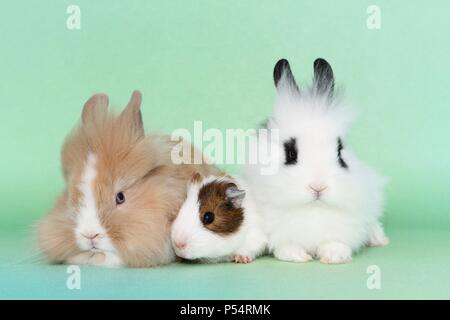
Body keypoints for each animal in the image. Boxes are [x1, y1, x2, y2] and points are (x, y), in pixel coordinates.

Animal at [244, 58, 388, 264]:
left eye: (340, 151)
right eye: (290, 153)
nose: (318, 187)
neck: (313, 211)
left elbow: (335, 242)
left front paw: (334, 256)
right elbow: (286, 247)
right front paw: (297, 256)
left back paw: (380, 239)